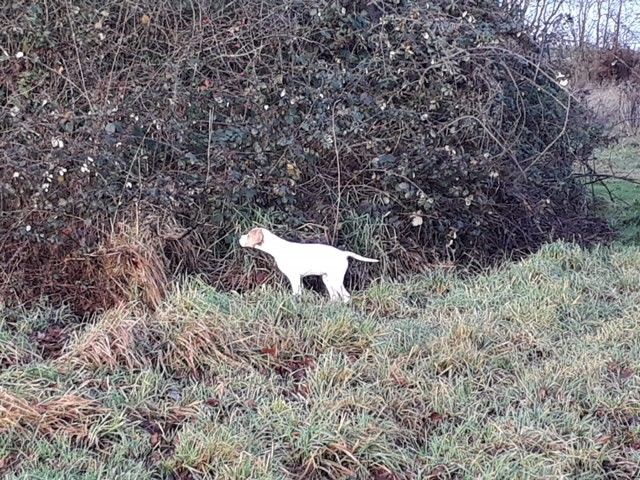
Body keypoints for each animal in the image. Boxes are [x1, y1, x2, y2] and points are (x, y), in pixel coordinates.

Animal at [240, 228, 380, 302]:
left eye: (248, 235)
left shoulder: (294, 277)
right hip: (327, 279)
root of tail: (343, 253)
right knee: (335, 297)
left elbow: (296, 293)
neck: (278, 248)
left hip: (336, 280)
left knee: (346, 296)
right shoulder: (300, 278)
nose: (239, 238)